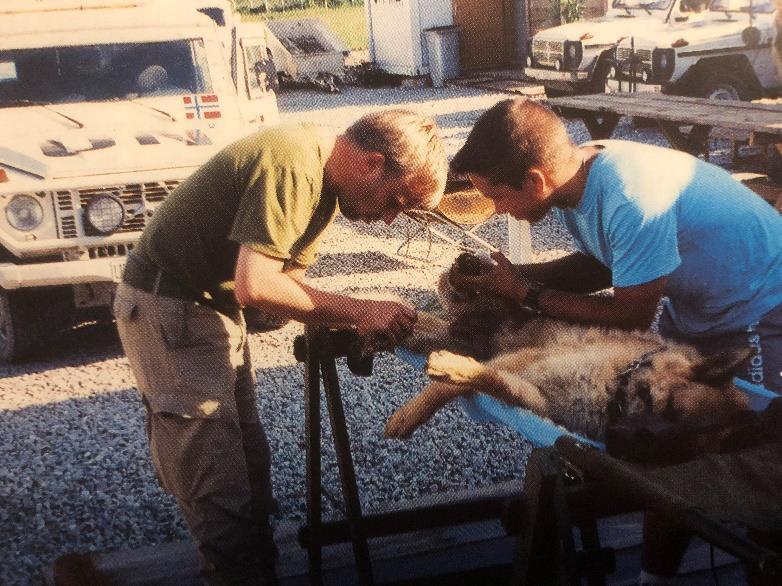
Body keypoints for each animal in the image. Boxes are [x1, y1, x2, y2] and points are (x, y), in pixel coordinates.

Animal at [386, 253, 752, 440]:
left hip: (473, 336)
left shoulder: (532, 395)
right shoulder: (522, 360)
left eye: (676, 434)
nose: (619, 440)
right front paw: (410, 412)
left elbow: (482, 379)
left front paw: (451, 371)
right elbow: (445, 387)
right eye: (666, 406)